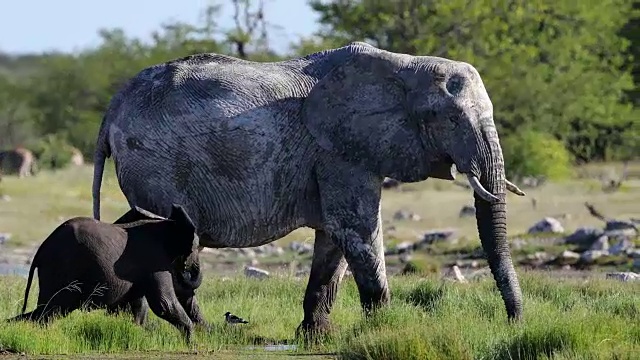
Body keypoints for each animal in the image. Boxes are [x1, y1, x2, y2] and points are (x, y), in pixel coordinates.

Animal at [8, 204, 206, 342]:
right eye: (195, 248)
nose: (188, 269)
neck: (167, 223)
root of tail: (40, 250)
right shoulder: (156, 261)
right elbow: (164, 304)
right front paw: (192, 343)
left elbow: (137, 305)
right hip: (60, 269)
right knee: (51, 310)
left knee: (45, 310)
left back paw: (12, 326)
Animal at [92, 41, 528, 334]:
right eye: (449, 118)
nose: (514, 322)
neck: (405, 65)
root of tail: (112, 106)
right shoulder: (338, 151)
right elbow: (355, 229)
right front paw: (383, 330)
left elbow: (333, 242)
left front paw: (317, 336)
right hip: (154, 167)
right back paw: (201, 330)